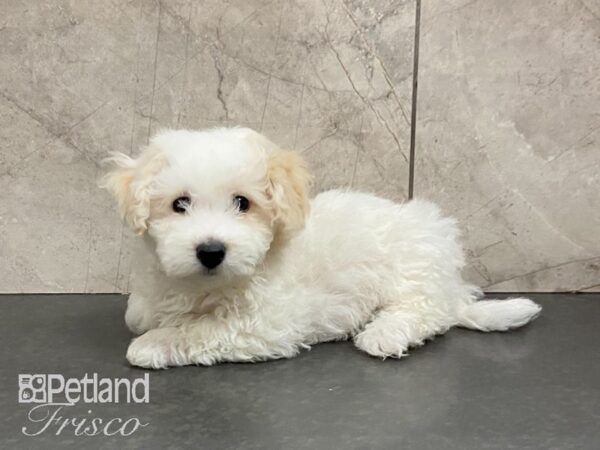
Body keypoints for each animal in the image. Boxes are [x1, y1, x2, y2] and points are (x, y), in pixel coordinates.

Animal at [102, 127, 540, 370]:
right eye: (180, 204)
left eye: (243, 203)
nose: (211, 250)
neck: (206, 285)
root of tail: (451, 285)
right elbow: (137, 311)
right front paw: (146, 316)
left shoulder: (265, 322)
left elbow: (202, 329)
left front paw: (153, 343)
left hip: (416, 265)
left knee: (427, 312)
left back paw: (383, 333)